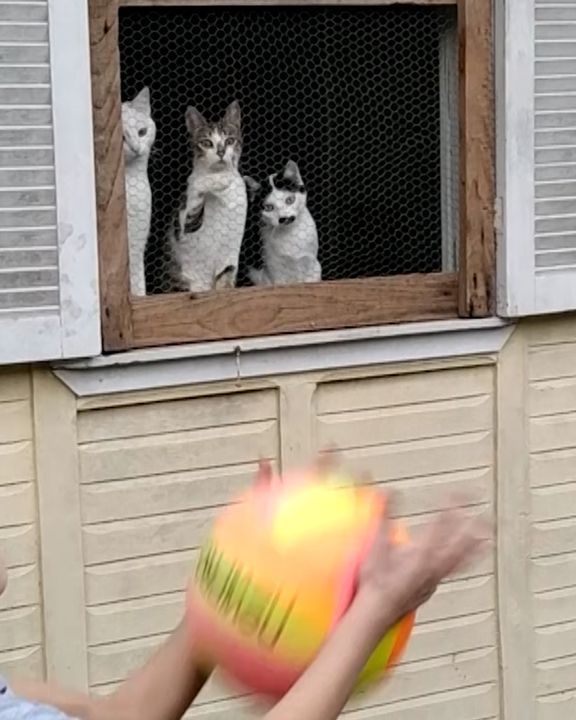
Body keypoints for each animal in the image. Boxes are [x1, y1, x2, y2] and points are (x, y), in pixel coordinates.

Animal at [168, 100, 246, 292]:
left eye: (230, 140)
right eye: (206, 142)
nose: (221, 152)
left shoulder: (230, 252)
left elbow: (225, 276)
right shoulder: (184, 226)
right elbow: (197, 188)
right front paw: (214, 180)